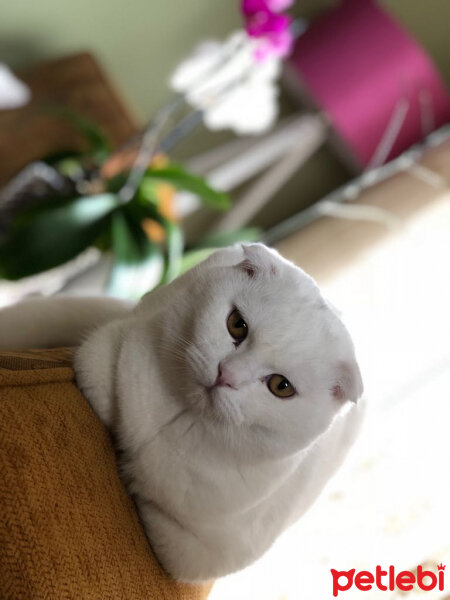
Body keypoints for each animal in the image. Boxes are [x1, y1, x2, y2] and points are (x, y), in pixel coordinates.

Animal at [0, 243, 364, 580]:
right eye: (237, 325)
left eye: (281, 386)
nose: (226, 375)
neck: (177, 418)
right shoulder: (105, 352)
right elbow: (104, 392)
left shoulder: (194, 555)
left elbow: (153, 509)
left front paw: (133, 472)